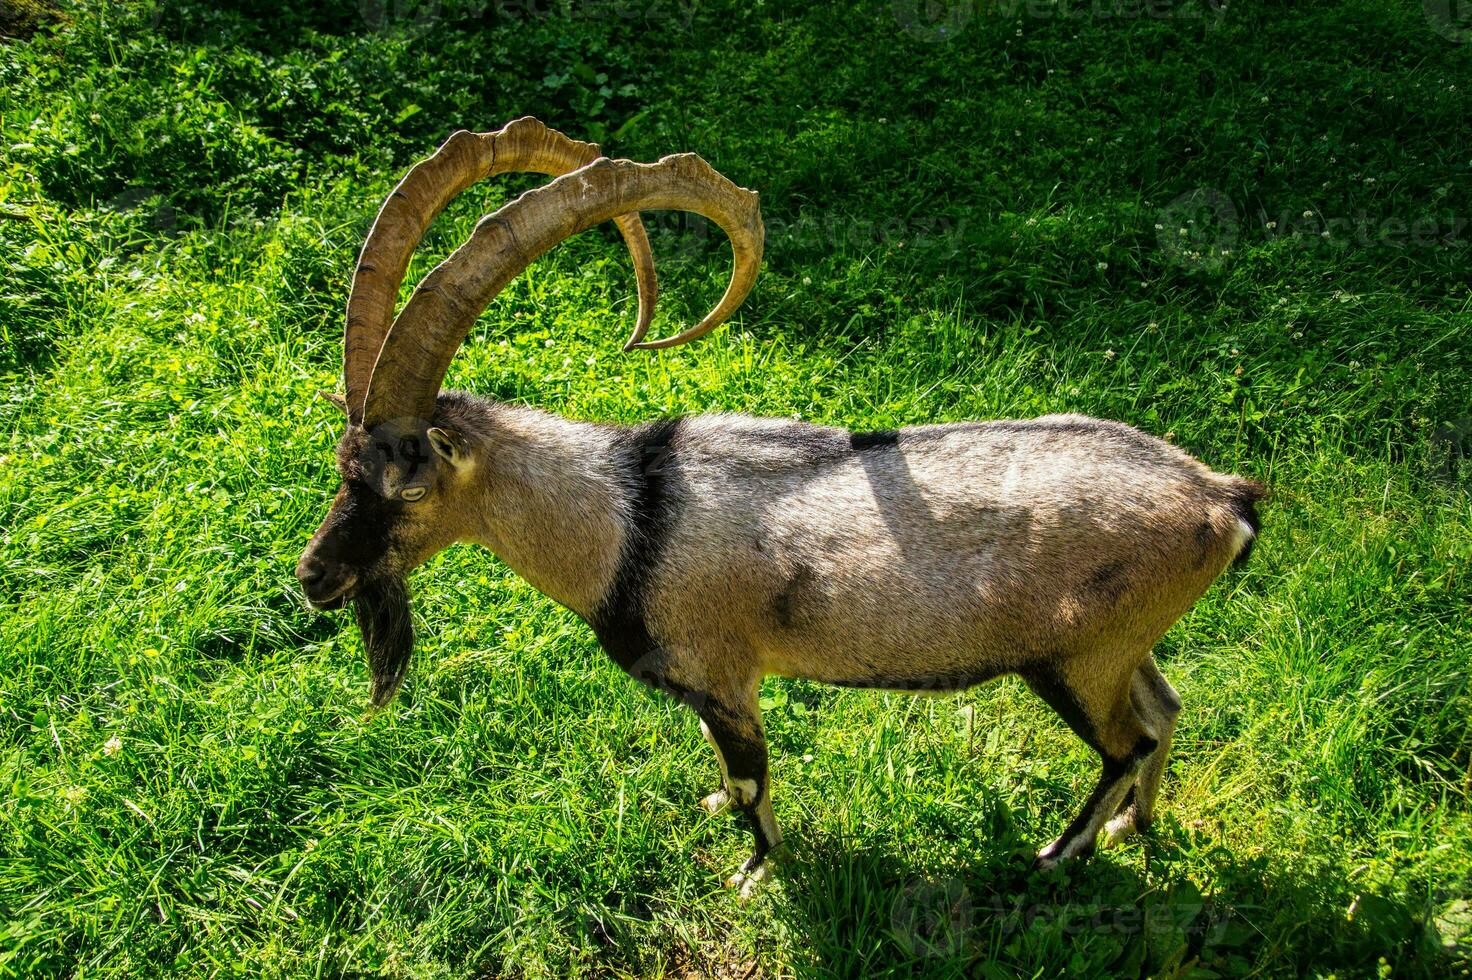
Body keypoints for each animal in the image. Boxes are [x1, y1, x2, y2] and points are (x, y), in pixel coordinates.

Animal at [298, 116, 1265, 894]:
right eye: (343, 463)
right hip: (1121, 644)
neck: (630, 518)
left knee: (1125, 743)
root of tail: (1223, 500)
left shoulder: (724, 677)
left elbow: (754, 781)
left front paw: (755, 872)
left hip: (1074, 658)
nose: (313, 577)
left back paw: (1060, 853)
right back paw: (1134, 825)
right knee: (1164, 711)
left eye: (409, 482)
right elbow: (726, 775)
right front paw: (718, 814)